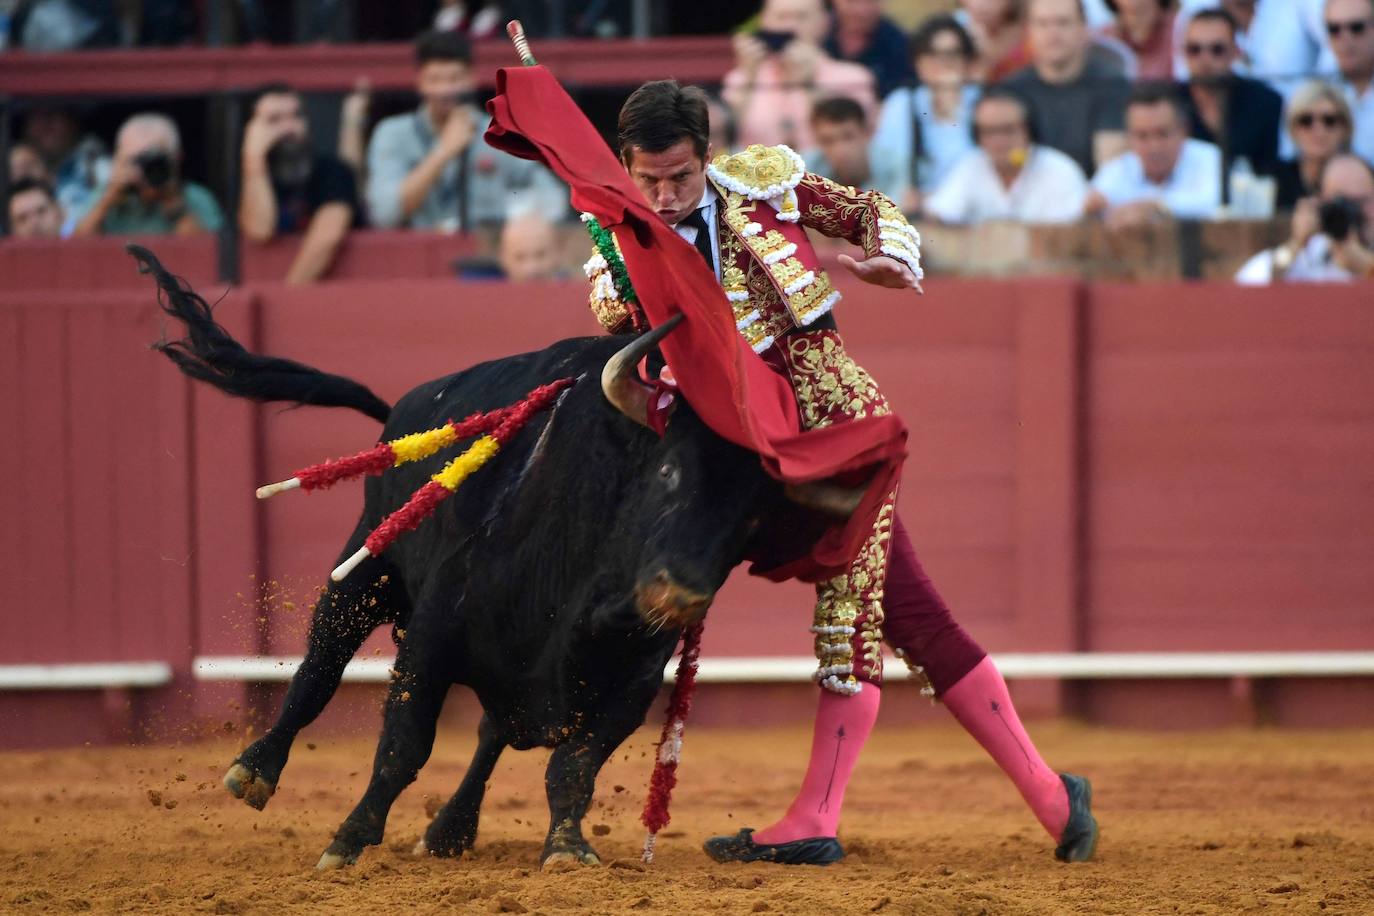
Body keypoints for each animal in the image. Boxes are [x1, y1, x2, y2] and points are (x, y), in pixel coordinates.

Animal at [131, 247, 824, 873]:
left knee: (493, 732)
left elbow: (573, 764)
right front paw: (348, 841)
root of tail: (399, 415)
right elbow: (403, 746)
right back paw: (254, 770)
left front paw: (567, 848)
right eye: (667, 472)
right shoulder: (433, 633)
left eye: (753, 519)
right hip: (365, 575)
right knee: (319, 670)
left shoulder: (633, 680)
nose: (679, 596)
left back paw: (450, 830)